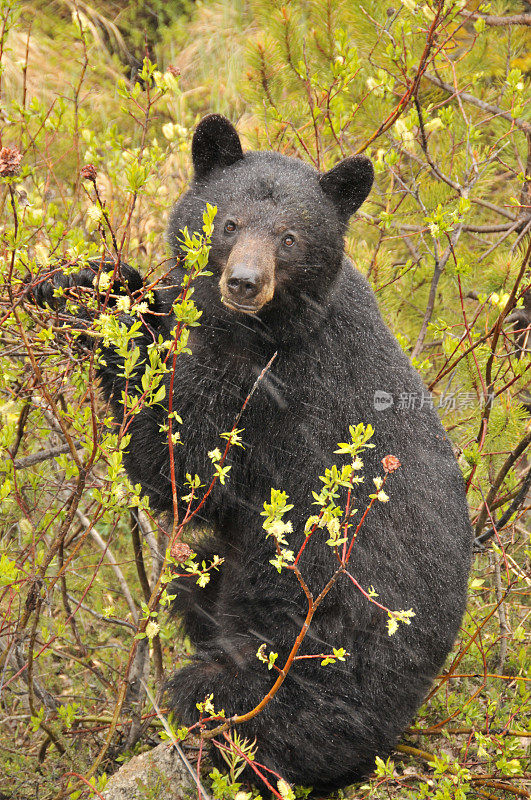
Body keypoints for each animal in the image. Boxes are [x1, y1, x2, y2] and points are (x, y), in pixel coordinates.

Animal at [35, 114, 472, 792]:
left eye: (290, 238)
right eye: (231, 223)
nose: (244, 282)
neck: (259, 327)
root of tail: (392, 734)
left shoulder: (272, 391)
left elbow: (183, 465)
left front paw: (102, 321)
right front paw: (85, 281)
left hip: (309, 679)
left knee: (228, 707)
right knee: (194, 582)